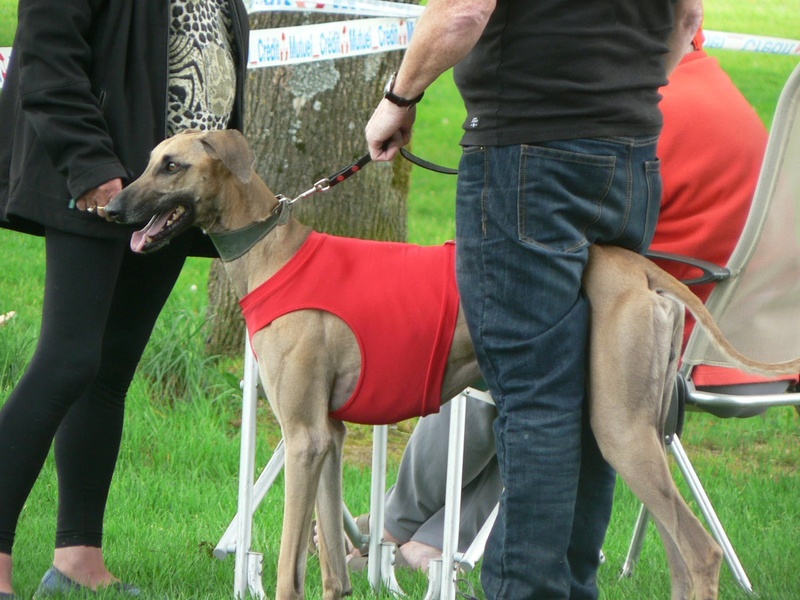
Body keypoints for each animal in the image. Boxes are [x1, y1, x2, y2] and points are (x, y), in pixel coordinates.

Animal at [106, 131, 800, 600]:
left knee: (701, 551)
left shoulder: (300, 438)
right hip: (633, 432)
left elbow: (285, 566)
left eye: (172, 164)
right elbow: (331, 565)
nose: (109, 210)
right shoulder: (327, 435)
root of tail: (642, 268)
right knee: (681, 552)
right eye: (149, 160)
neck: (274, 250)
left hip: (620, 428)